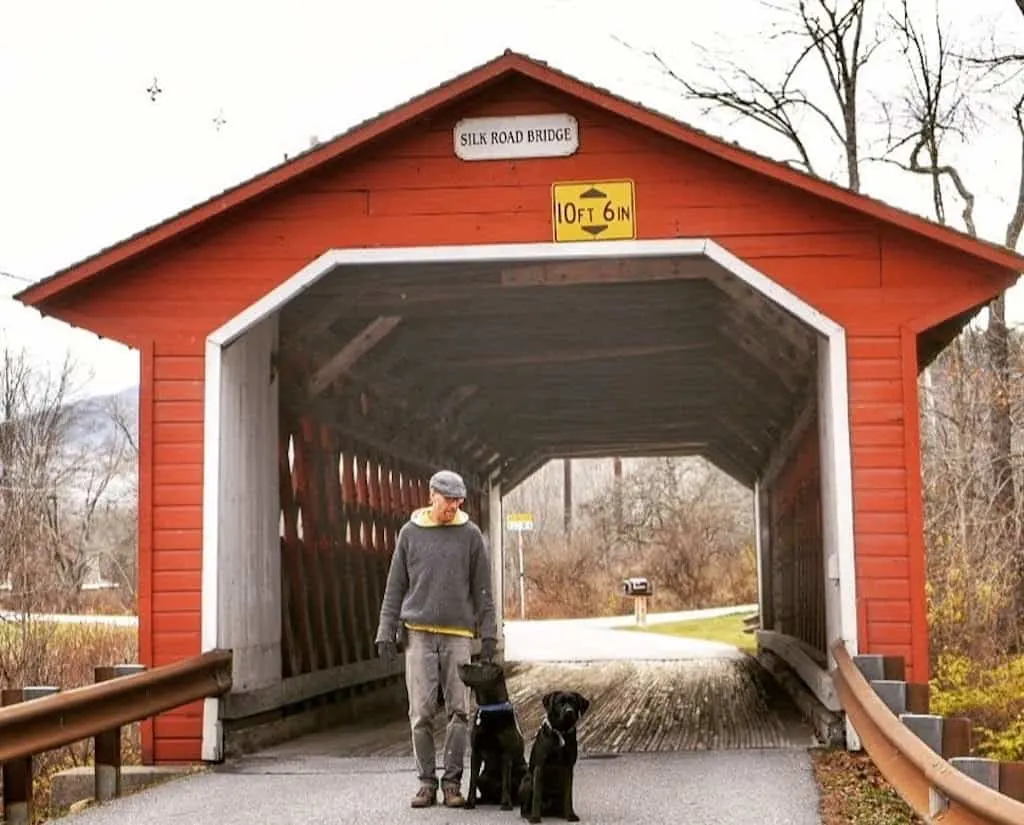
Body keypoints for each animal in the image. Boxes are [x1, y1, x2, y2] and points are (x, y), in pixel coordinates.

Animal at [460, 663, 532, 810]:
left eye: (479, 666)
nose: (460, 665)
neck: (490, 709)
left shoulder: (506, 754)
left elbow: (506, 782)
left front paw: (506, 804)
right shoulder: (475, 752)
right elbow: (472, 780)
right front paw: (470, 802)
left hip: (524, 774)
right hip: (484, 777)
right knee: (483, 787)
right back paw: (482, 800)